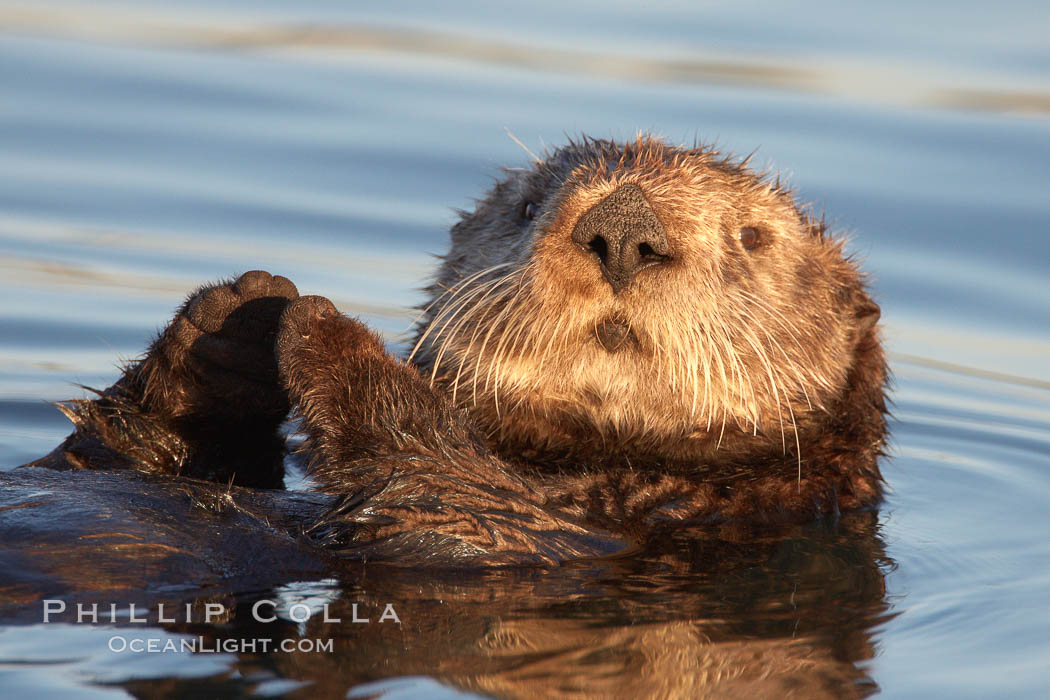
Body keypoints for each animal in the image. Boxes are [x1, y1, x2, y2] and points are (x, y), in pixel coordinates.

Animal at [6, 135, 886, 575]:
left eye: (754, 237)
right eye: (528, 207)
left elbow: (446, 495)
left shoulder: (537, 539)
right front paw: (234, 321)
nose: (624, 231)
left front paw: (327, 330)